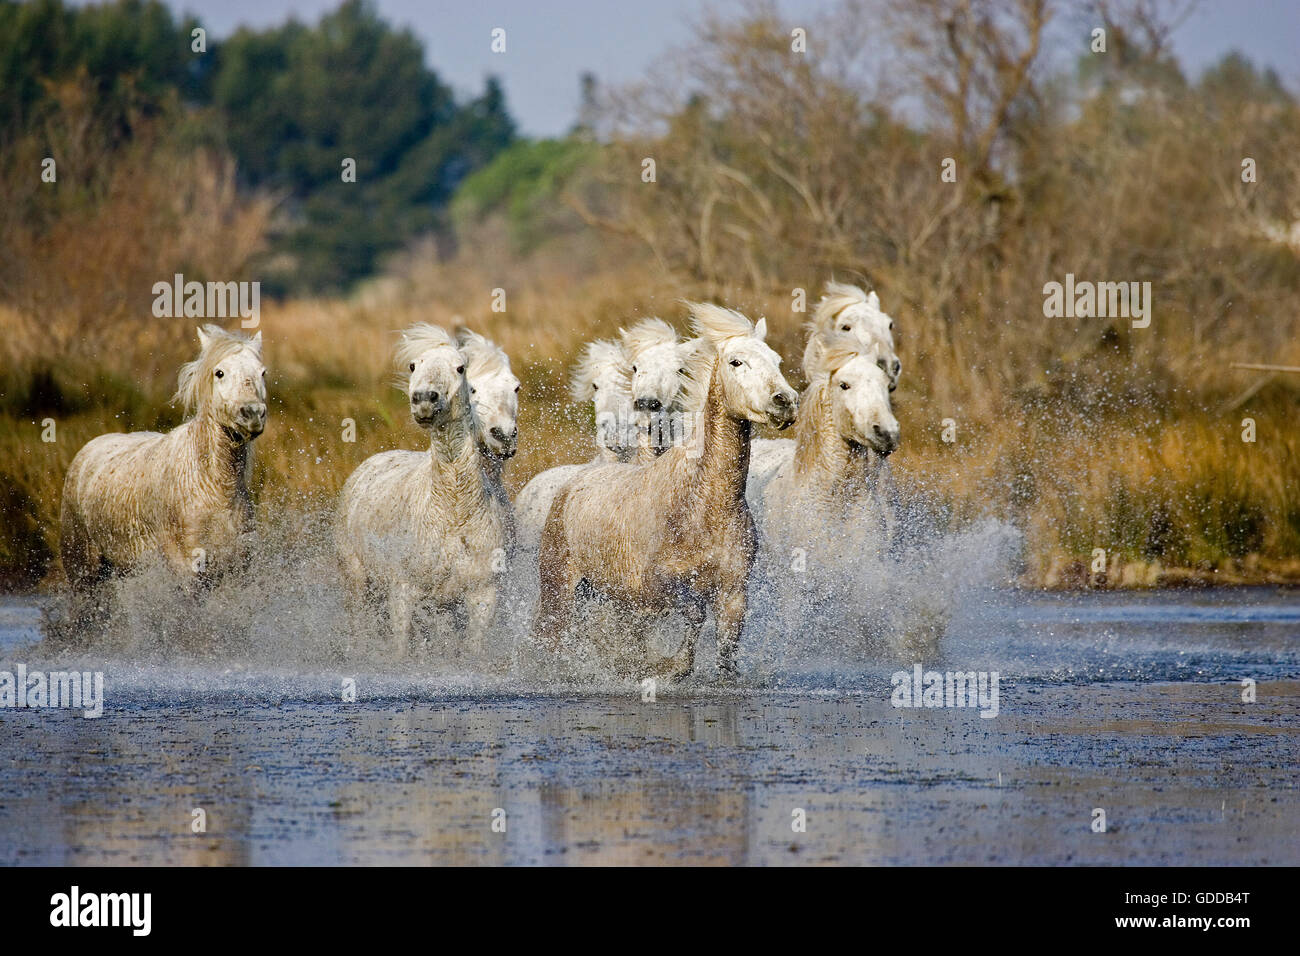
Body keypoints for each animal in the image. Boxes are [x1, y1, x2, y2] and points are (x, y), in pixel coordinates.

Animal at [58, 327, 266, 642]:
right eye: (219, 372)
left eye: (262, 372)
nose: (252, 414)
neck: (214, 488)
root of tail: (86, 451)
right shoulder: (186, 568)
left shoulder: (236, 570)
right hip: (83, 569)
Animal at [335, 321, 506, 658]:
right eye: (414, 366)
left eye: (460, 368)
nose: (425, 399)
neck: (453, 509)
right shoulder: (403, 591)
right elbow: (401, 647)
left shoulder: (482, 595)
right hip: (358, 581)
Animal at [533, 304, 795, 681]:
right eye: (736, 362)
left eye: (777, 360)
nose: (784, 402)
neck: (705, 502)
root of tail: (571, 484)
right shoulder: (657, 589)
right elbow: (691, 616)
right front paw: (673, 667)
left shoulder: (734, 591)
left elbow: (725, 650)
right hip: (560, 589)